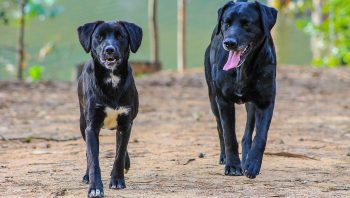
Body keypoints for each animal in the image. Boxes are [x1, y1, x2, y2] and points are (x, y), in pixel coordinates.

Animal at [77, 20, 142, 198]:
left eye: (120, 36)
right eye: (99, 37)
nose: (109, 50)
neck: (111, 79)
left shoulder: (126, 124)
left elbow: (119, 153)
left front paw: (117, 180)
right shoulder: (91, 127)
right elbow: (93, 159)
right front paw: (95, 188)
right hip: (82, 123)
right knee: (88, 153)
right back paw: (86, 175)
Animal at [204, 0, 278, 179]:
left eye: (246, 24)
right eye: (227, 23)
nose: (229, 42)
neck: (242, 69)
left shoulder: (265, 101)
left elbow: (260, 136)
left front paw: (252, 165)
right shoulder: (223, 100)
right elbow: (229, 135)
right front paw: (232, 166)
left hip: (251, 104)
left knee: (247, 134)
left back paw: (246, 159)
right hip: (212, 99)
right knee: (220, 129)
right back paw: (224, 157)